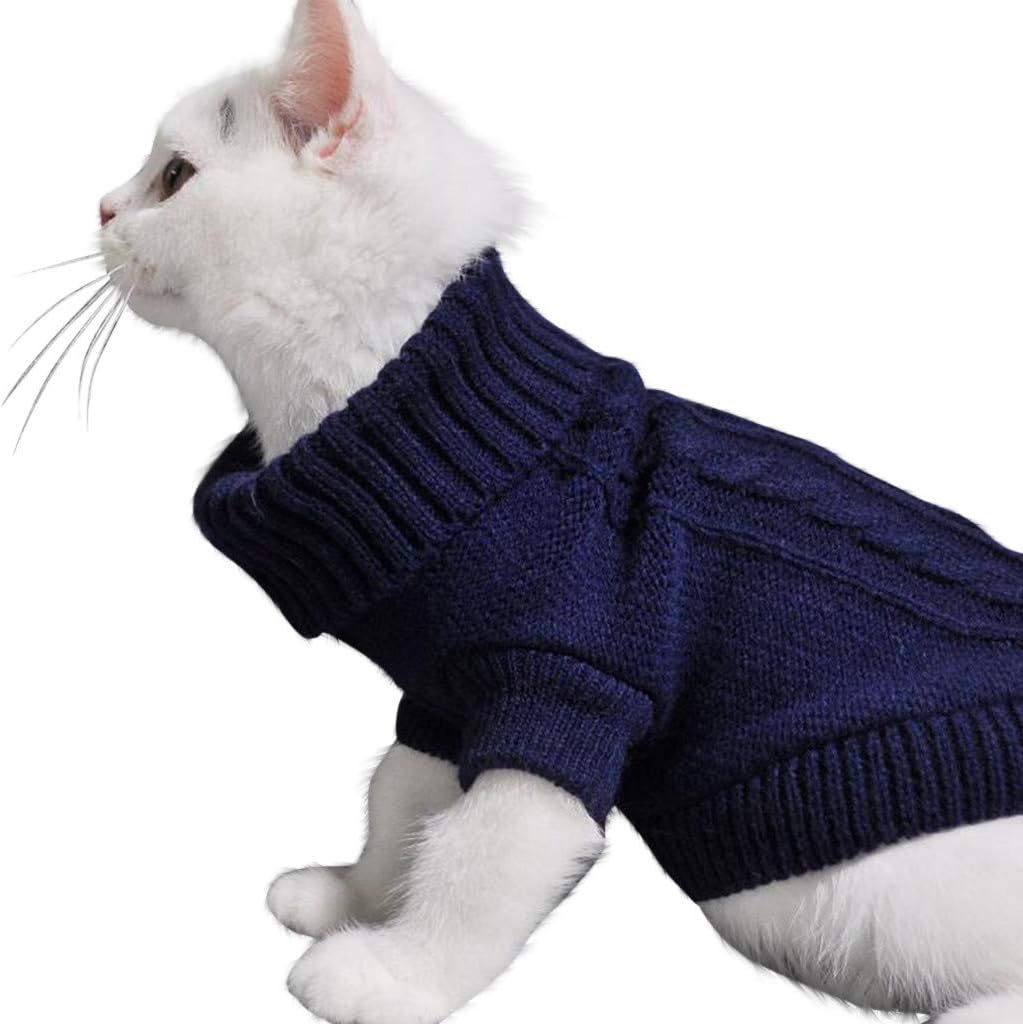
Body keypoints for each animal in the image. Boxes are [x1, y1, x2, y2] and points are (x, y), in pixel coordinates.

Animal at [92, 1, 1023, 1022]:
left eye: (172, 178)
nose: (100, 208)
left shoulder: (565, 692)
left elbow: (478, 862)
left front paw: (393, 973)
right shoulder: (447, 693)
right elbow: (398, 801)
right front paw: (355, 899)